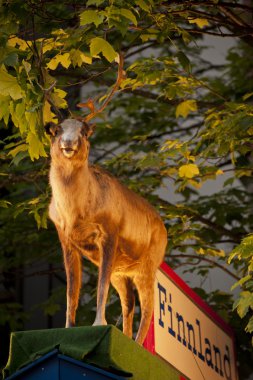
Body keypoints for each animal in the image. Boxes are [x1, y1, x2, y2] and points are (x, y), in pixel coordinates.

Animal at [48, 118, 168, 344]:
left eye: (84, 132)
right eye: (57, 130)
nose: (68, 143)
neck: (74, 213)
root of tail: (164, 230)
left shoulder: (109, 235)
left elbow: (101, 285)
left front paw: (98, 323)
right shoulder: (66, 241)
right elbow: (71, 290)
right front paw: (68, 327)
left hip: (146, 269)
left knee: (148, 307)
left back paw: (136, 344)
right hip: (121, 273)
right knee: (129, 300)